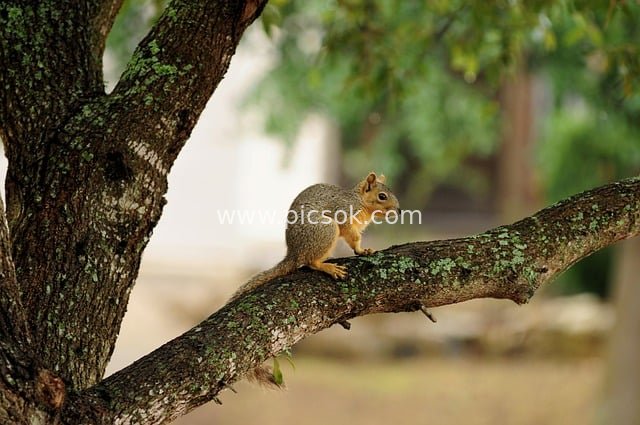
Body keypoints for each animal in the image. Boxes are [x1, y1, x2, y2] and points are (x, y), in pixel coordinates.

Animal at [228, 172, 400, 387]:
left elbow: (356, 241)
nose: (399, 210)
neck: (359, 201)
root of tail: (294, 253)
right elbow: (351, 236)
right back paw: (328, 267)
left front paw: (364, 250)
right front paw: (360, 249)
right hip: (326, 230)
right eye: (382, 196)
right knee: (310, 262)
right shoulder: (344, 215)